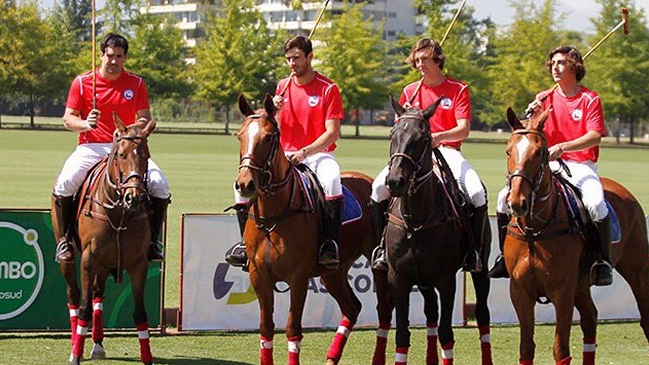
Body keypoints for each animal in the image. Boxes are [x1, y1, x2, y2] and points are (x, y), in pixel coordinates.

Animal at [58, 114, 157, 364]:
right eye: (121, 155)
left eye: (146, 155)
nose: (134, 198)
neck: (119, 211)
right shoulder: (88, 260)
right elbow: (84, 309)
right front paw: (76, 355)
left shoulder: (138, 264)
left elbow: (140, 312)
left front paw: (147, 357)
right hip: (71, 257)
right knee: (74, 295)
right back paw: (74, 345)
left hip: (104, 264)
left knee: (98, 294)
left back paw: (98, 344)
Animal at [234, 94, 392, 364]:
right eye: (240, 136)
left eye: (268, 137)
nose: (245, 184)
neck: (274, 215)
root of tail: (367, 179)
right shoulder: (259, 276)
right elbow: (266, 328)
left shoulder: (298, 277)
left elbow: (292, 329)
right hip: (334, 271)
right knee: (352, 307)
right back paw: (331, 357)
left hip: (376, 262)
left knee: (383, 310)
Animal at [384, 96, 492, 364]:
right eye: (392, 134)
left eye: (423, 138)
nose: (395, 181)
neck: (415, 219)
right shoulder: (398, 277)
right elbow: (402, 335)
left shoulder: (446, 279)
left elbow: (446, 333)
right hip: (423, 279)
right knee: (431, 311)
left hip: (481, 268)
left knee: (483, 314)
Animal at [504, 106, 648, 364]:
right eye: (509, 150)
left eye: (540, 152)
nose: (517, 203)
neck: (534, 231)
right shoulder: (520, 291)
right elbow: (526, 349)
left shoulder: (562, 291)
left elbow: (560, 349)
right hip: (581, 284)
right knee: (591, 319)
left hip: (637, 271)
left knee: (645, 320)